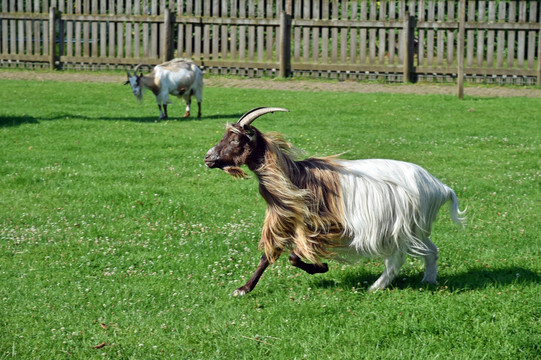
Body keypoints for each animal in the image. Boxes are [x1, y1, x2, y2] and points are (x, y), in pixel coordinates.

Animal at [202, 107, 464, 296]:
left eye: (235, 140)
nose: (208, 158)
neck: (296, 178)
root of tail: (440, 187)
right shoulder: (288, 218)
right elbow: (268, 256)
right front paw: (243, 289)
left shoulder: (326, 225)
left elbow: (294, 256)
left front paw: (320, 268)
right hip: (416, 227)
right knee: (431, 251)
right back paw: (428, 280)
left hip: (397, 227)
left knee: (396, 258)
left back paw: (376, 287)